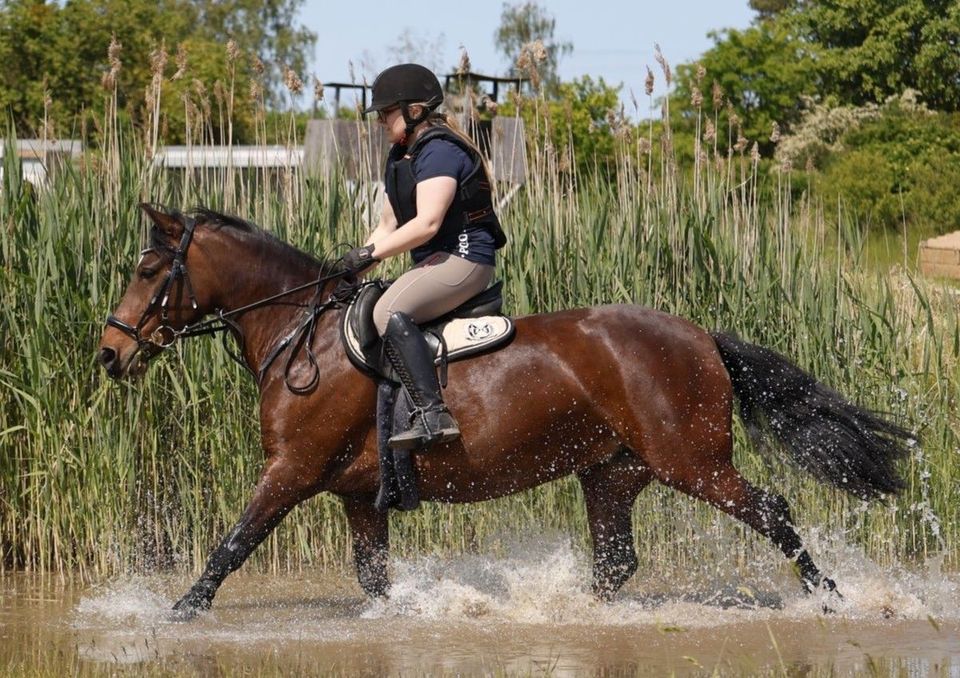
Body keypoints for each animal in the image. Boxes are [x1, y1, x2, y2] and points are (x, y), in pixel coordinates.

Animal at [99, 206, 916, 620]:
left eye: (149, 269)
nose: (110, 354)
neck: (305, 333)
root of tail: (700, 336)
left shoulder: (293, 470)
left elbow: (230, 546)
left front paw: (176, 612)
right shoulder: (357, 493)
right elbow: (374, 580)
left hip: (693, 461)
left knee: (772, 511)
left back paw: (833, 599)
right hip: (613, 472)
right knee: (615, 561)